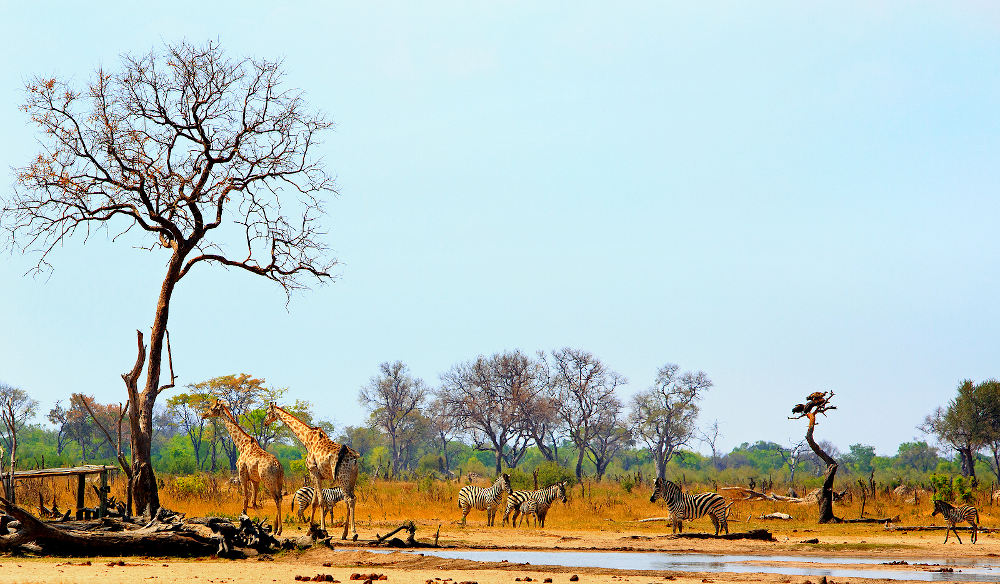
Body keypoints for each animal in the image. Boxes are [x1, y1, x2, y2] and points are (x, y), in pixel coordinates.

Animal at [201, 400, 284, 536]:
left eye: (212, 408)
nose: (204, 415)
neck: (241, 445)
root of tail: (278, 466)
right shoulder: (255, 480)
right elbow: (253, 502)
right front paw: (261, 524)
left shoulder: (242, 475)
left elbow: (245, 499)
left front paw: (244, 522)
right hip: (279, 481)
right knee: (280, 498)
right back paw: (277, 528)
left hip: (268, 481)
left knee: (277, 499)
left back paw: (279, 530)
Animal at [264, 402, 362, 540]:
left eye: (268, 412)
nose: (265, 423)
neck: (307, 440)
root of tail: (354, 457)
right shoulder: (317, 475)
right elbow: (314, 502)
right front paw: (309, 531)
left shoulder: (313, 471)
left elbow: (320, 501)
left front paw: (323, 530)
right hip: (352, 478)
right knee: (351, 499)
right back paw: (344, 534)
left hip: (342, 477)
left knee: (350, 499)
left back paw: (354, 533)